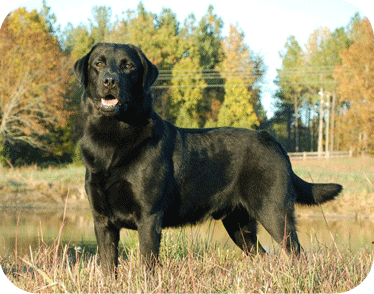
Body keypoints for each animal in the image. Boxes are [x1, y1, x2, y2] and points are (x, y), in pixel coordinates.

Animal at [73, 42, 342, 272]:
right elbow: (108, 266)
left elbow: (147, 265)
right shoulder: (102, 220)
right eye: (98, 64)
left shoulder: (148, 217)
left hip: (274, 212)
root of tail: (271, 140)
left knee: (296, 252)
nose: (110, 80)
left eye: (128, 66)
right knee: (262, 254)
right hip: (239, 225)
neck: (112, 140)